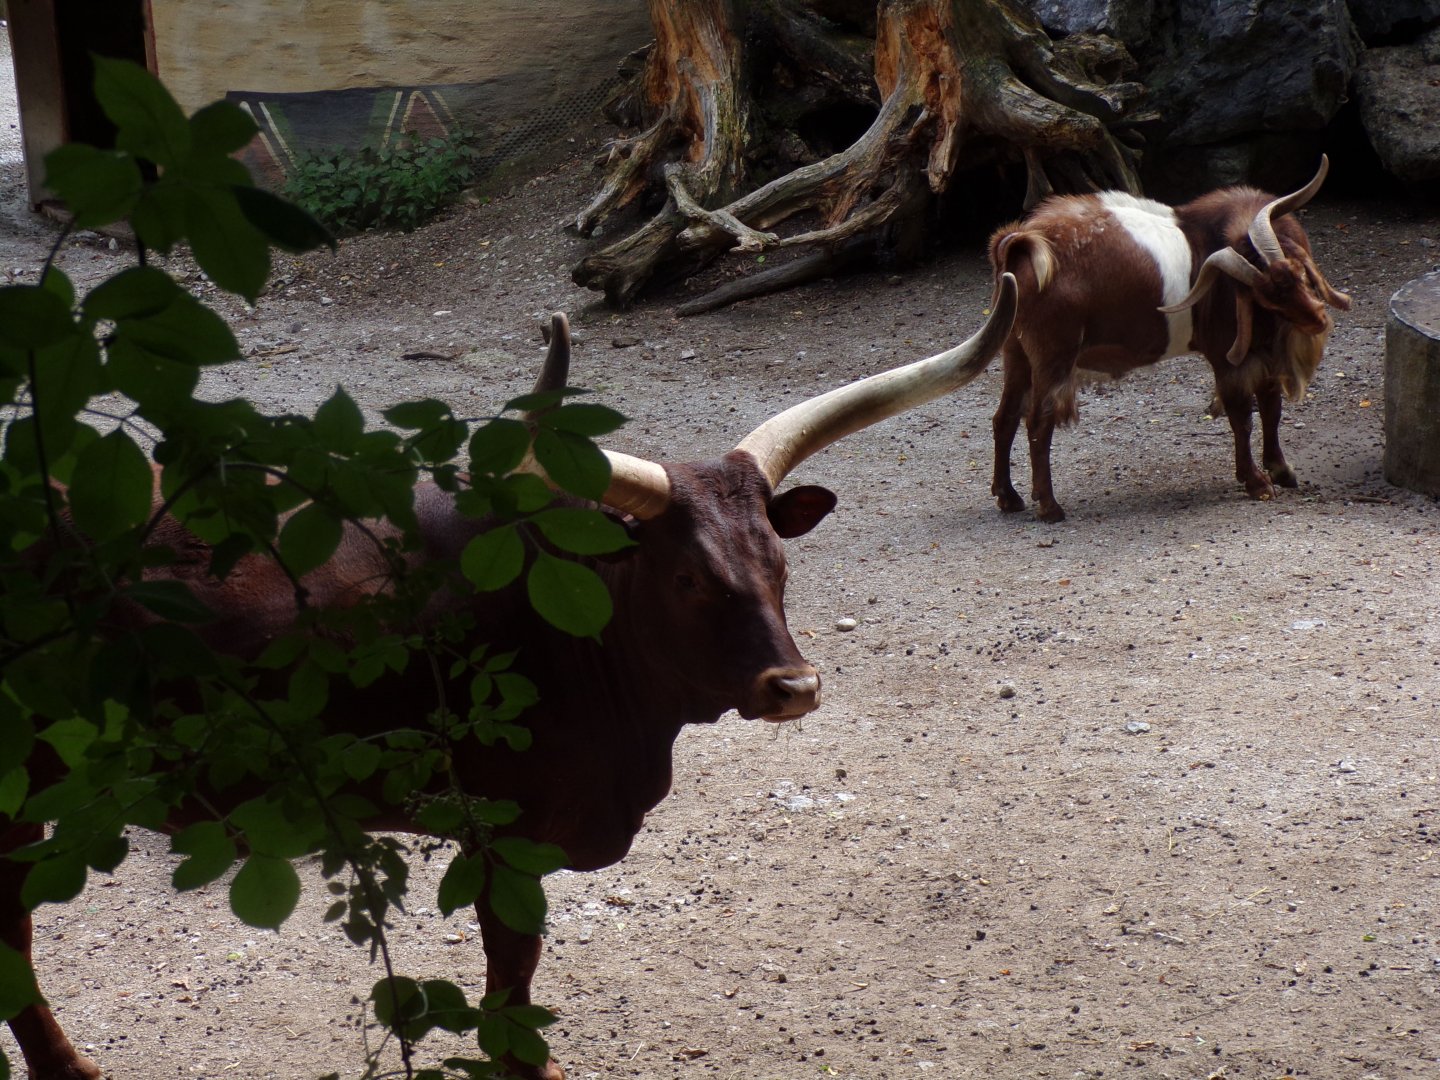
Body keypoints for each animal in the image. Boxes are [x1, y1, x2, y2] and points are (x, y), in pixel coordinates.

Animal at [987, 156, 1351, 523]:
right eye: (1266, 297)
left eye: (1297, 273)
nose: (1318, 319)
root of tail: (1021, 242)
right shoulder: (1227, 357)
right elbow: (1242, 417)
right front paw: (1257, 482)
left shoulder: (1263, 352)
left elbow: (1271, 408)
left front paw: (1281, 470)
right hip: (1052, 355)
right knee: (1038, 421)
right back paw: (1049, 506)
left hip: (1015, 349)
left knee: (1005, 416)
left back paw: (1009, 497)